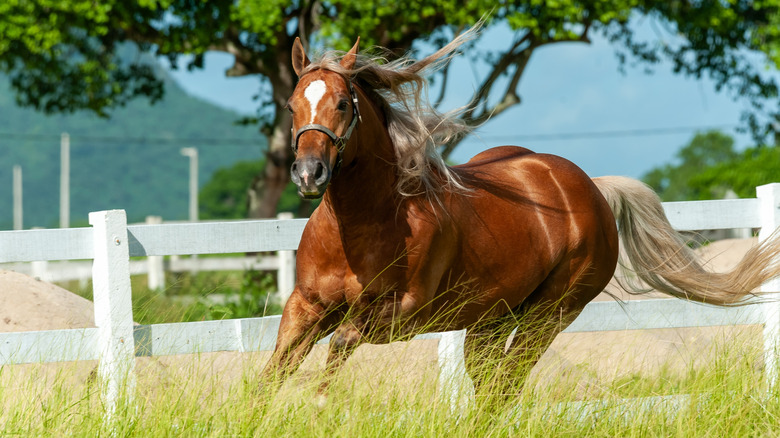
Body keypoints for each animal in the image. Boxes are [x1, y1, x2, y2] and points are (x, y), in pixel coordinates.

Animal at [260, 27, 780, 401]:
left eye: (342, 103)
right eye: (292, 104)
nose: (309, 173)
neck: (364, 223)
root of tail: (591, 188)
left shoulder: (405, 313)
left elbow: (340, 346)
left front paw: (318, 403)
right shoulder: (306, 305)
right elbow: (272, 374)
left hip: (547, 315)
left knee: (506, 388)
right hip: (489, 321)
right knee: (491, 387)